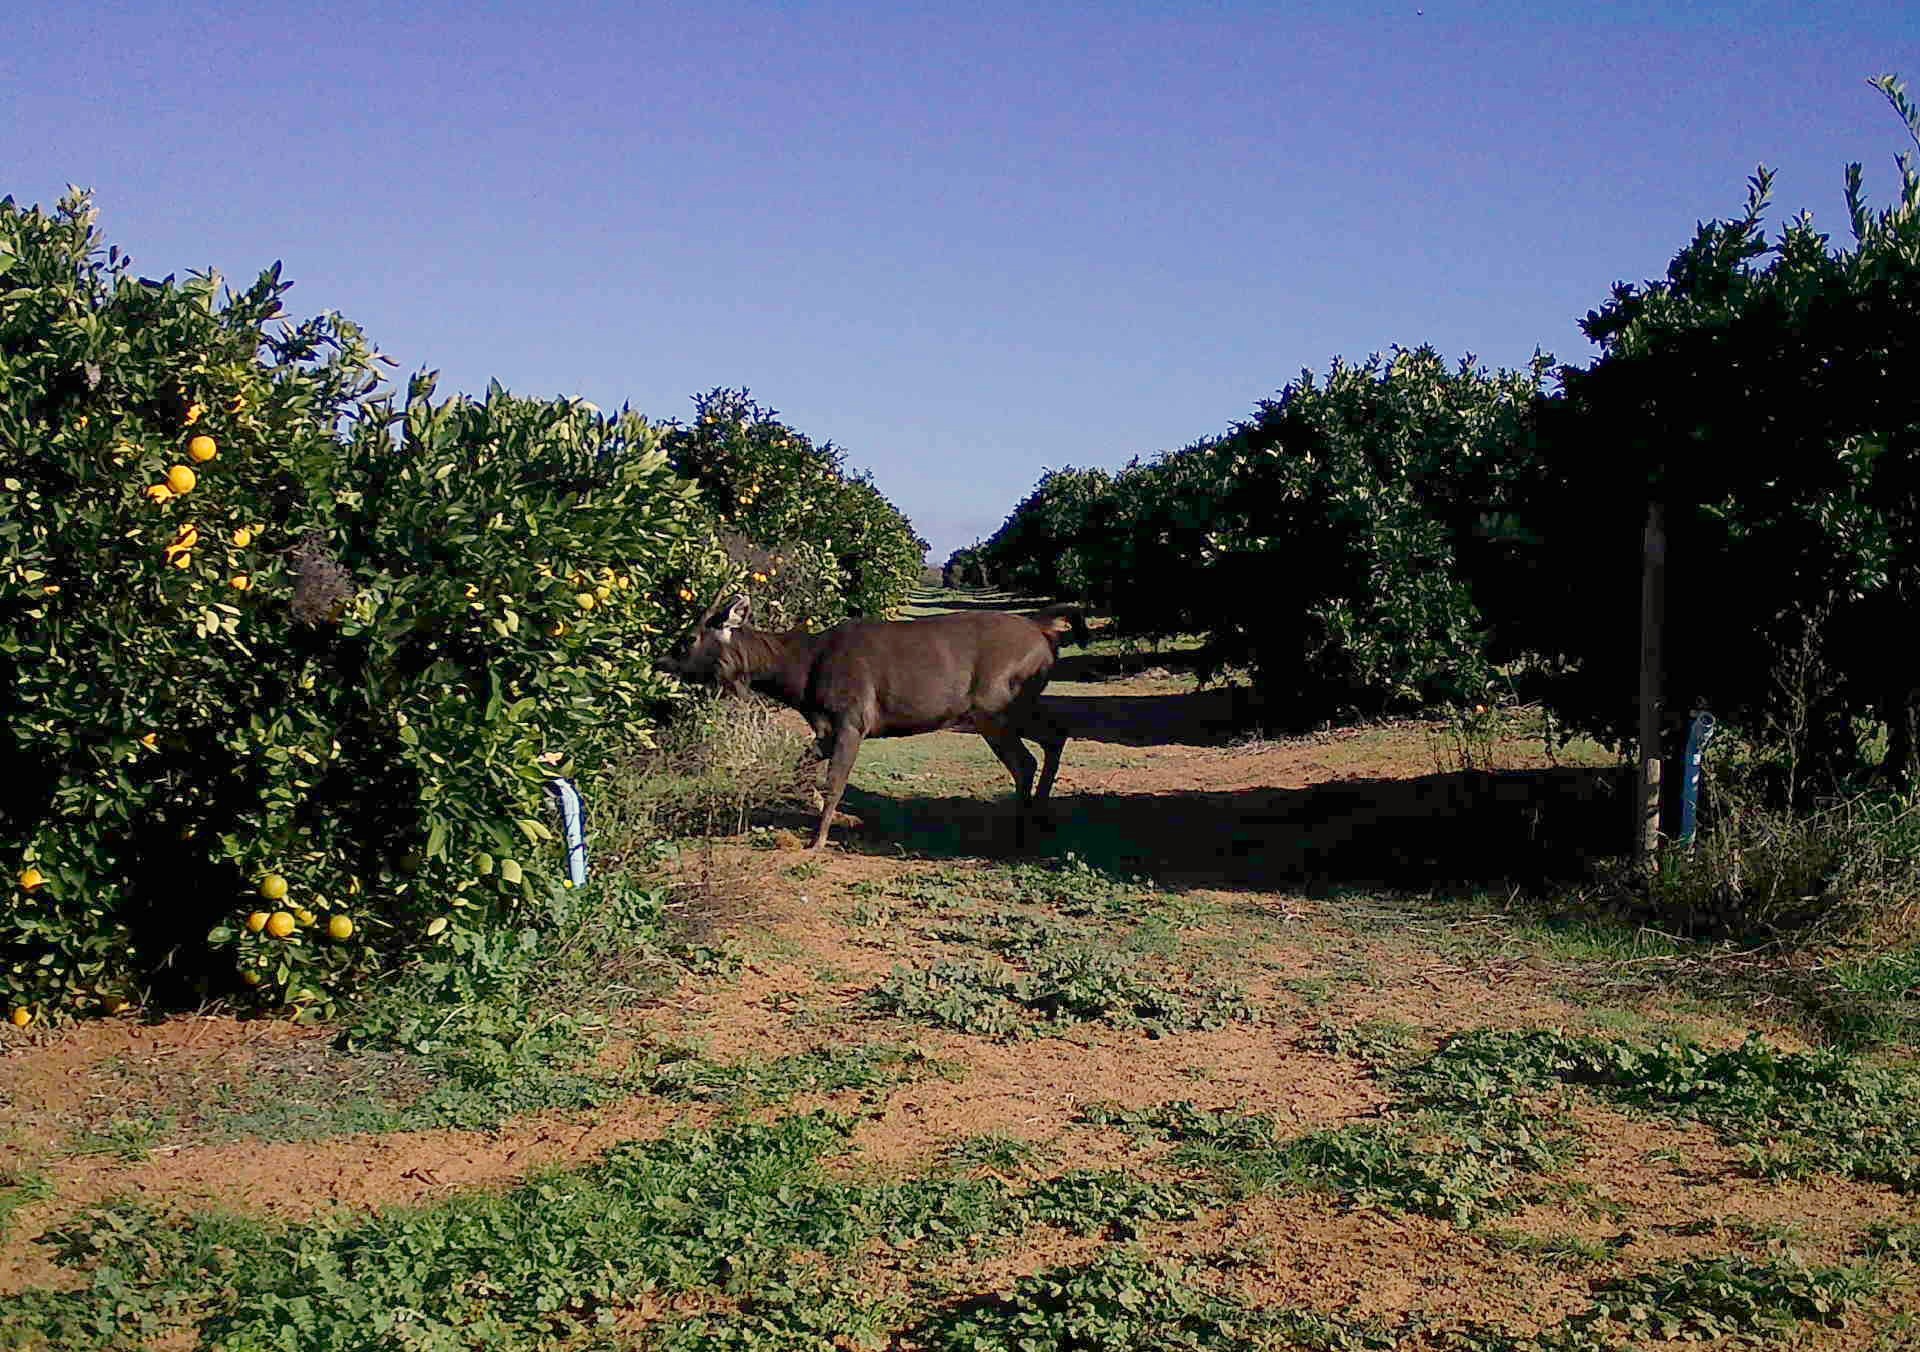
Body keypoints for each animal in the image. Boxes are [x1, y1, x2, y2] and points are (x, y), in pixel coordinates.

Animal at [660, 594, 1089, 850]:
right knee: (1055, 736)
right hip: (1011, 706)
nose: (660, 661)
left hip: (995, 704)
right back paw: (1038, 819)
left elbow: (834, 782)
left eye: (687, 639)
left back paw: (1021, 828)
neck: (802, 675)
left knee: (1026, 759)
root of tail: (1043, 631)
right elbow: (801, 768)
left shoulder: (853, 718)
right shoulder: (825, 728)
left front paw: (818, 840)